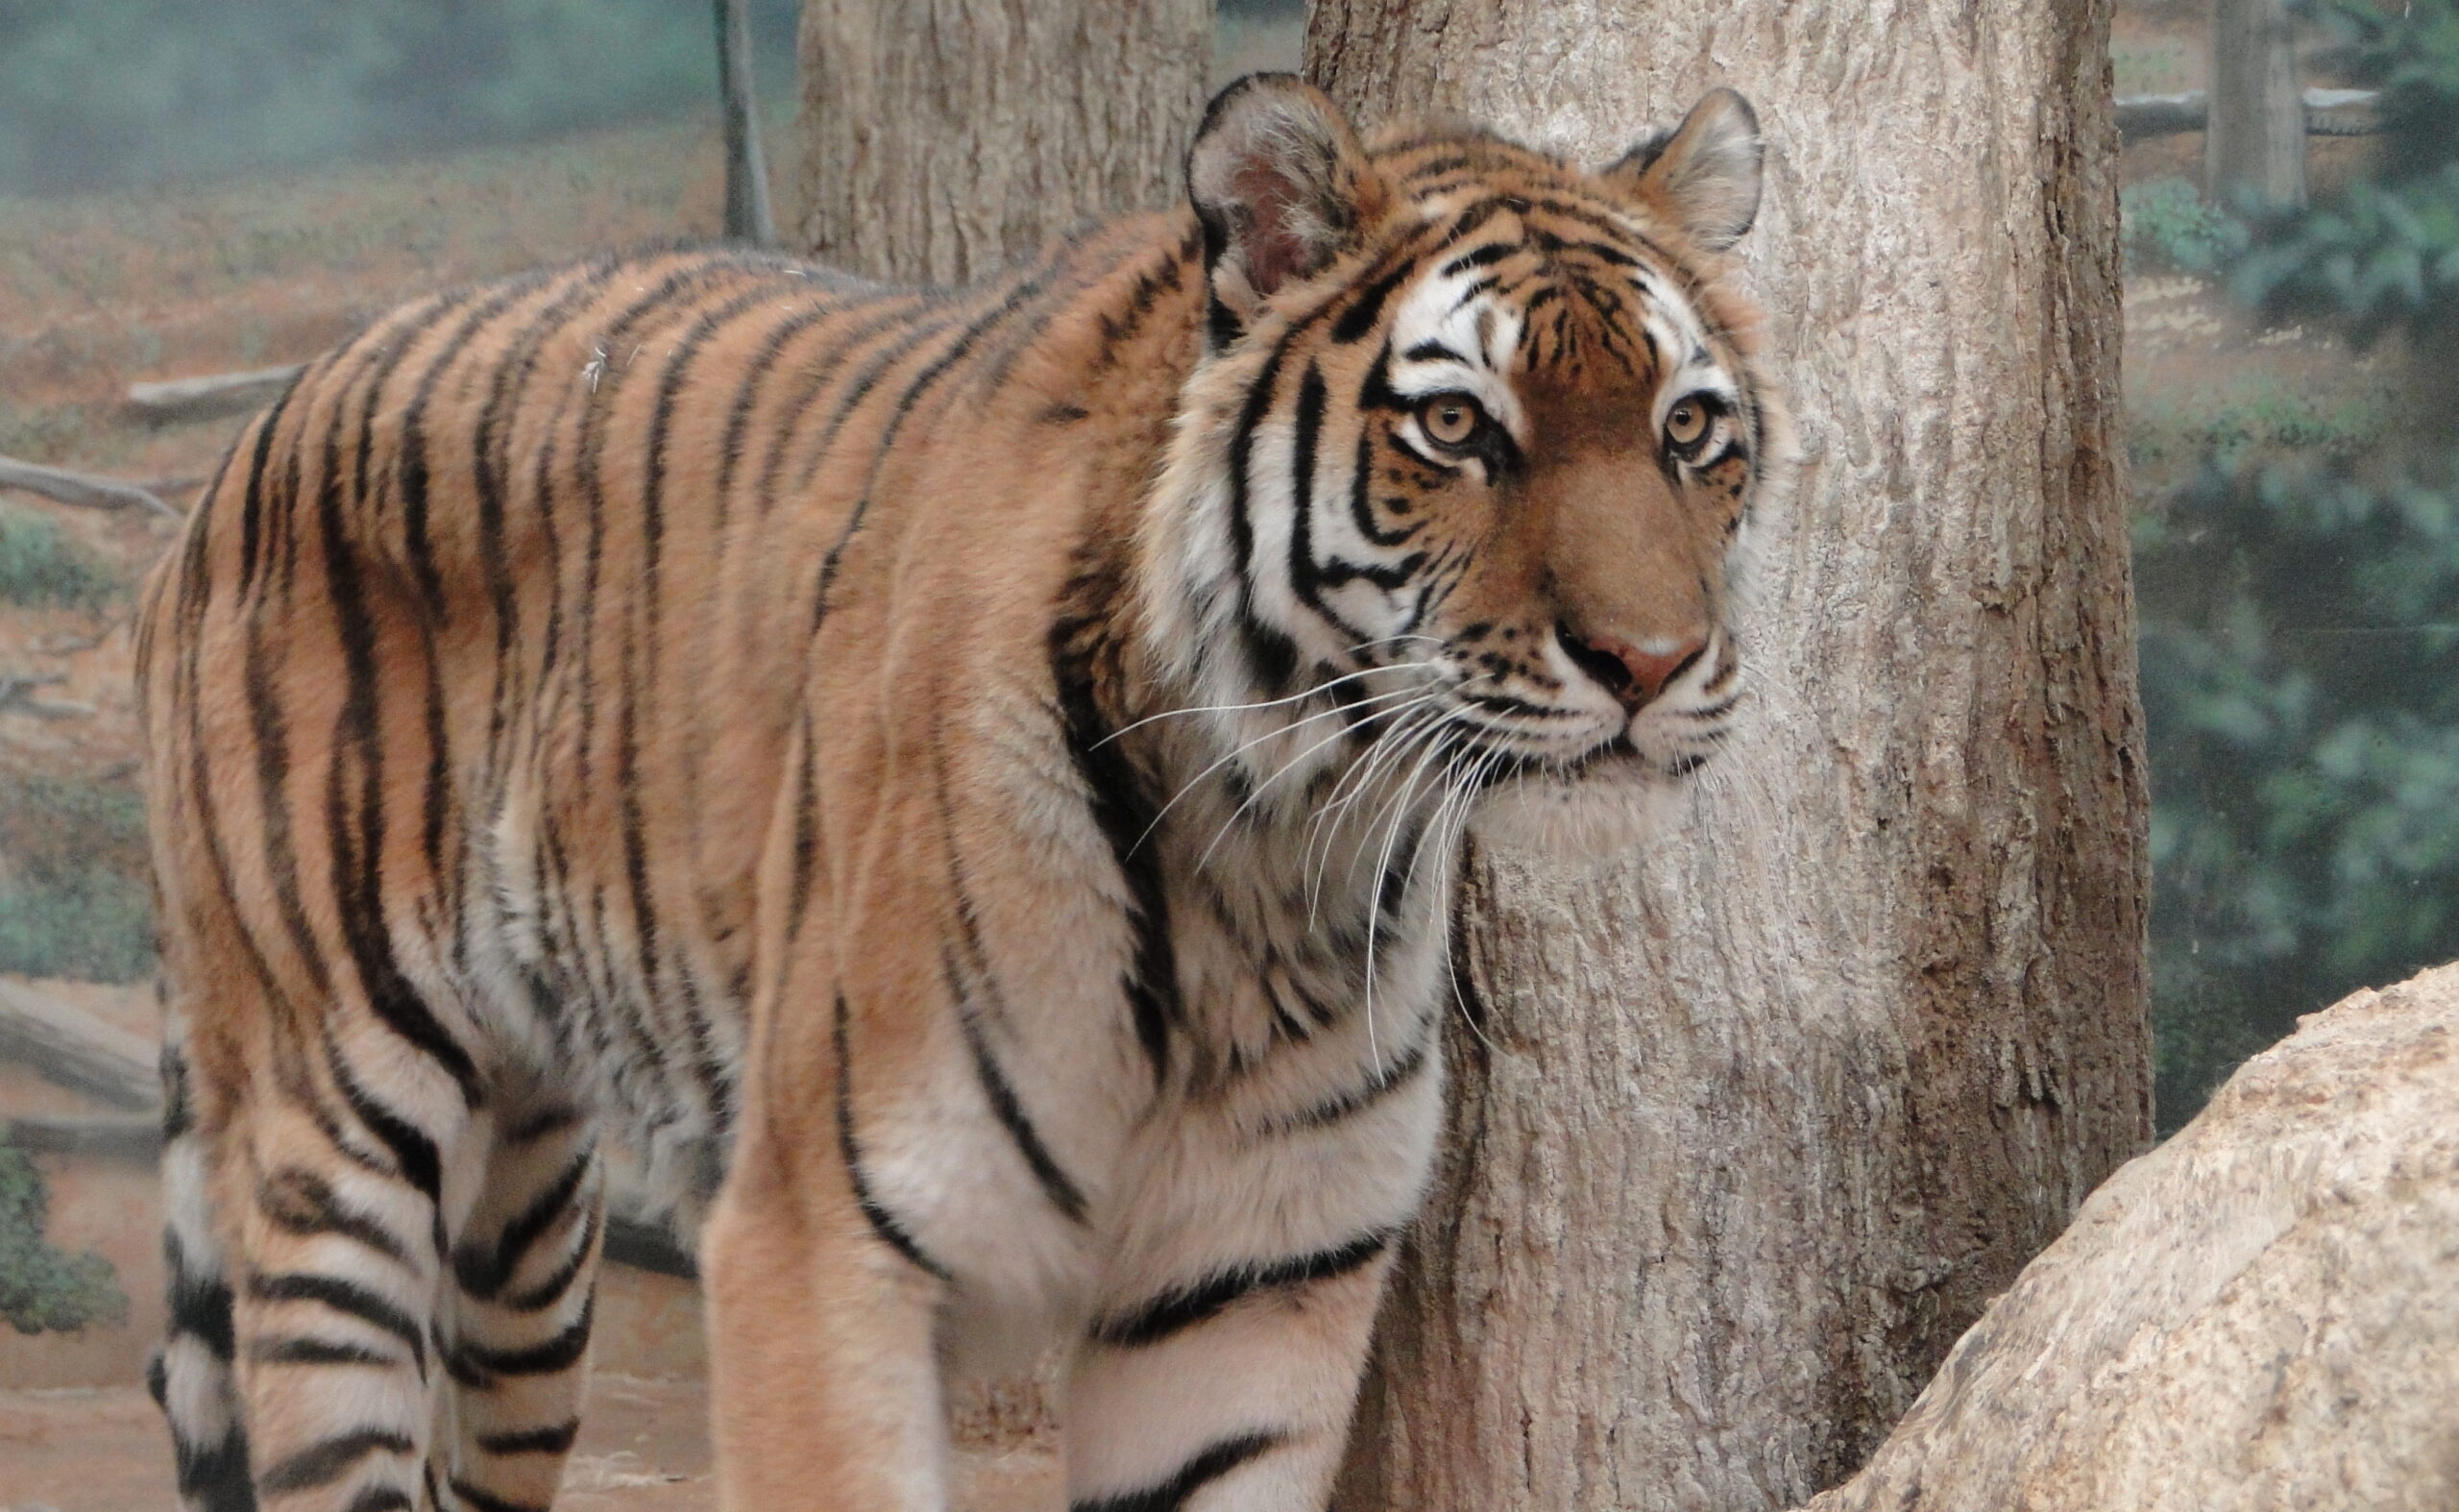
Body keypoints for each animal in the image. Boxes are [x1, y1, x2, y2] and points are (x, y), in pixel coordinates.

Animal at [134, 76, 1780, 1512]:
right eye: (1455, 430)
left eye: (1687, 429)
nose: (1650, 660)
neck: (1275, 838)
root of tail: (252, 438)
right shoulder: (818, 1243)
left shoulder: (1248, 1294)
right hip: (336, 1145)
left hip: (528, 1237)